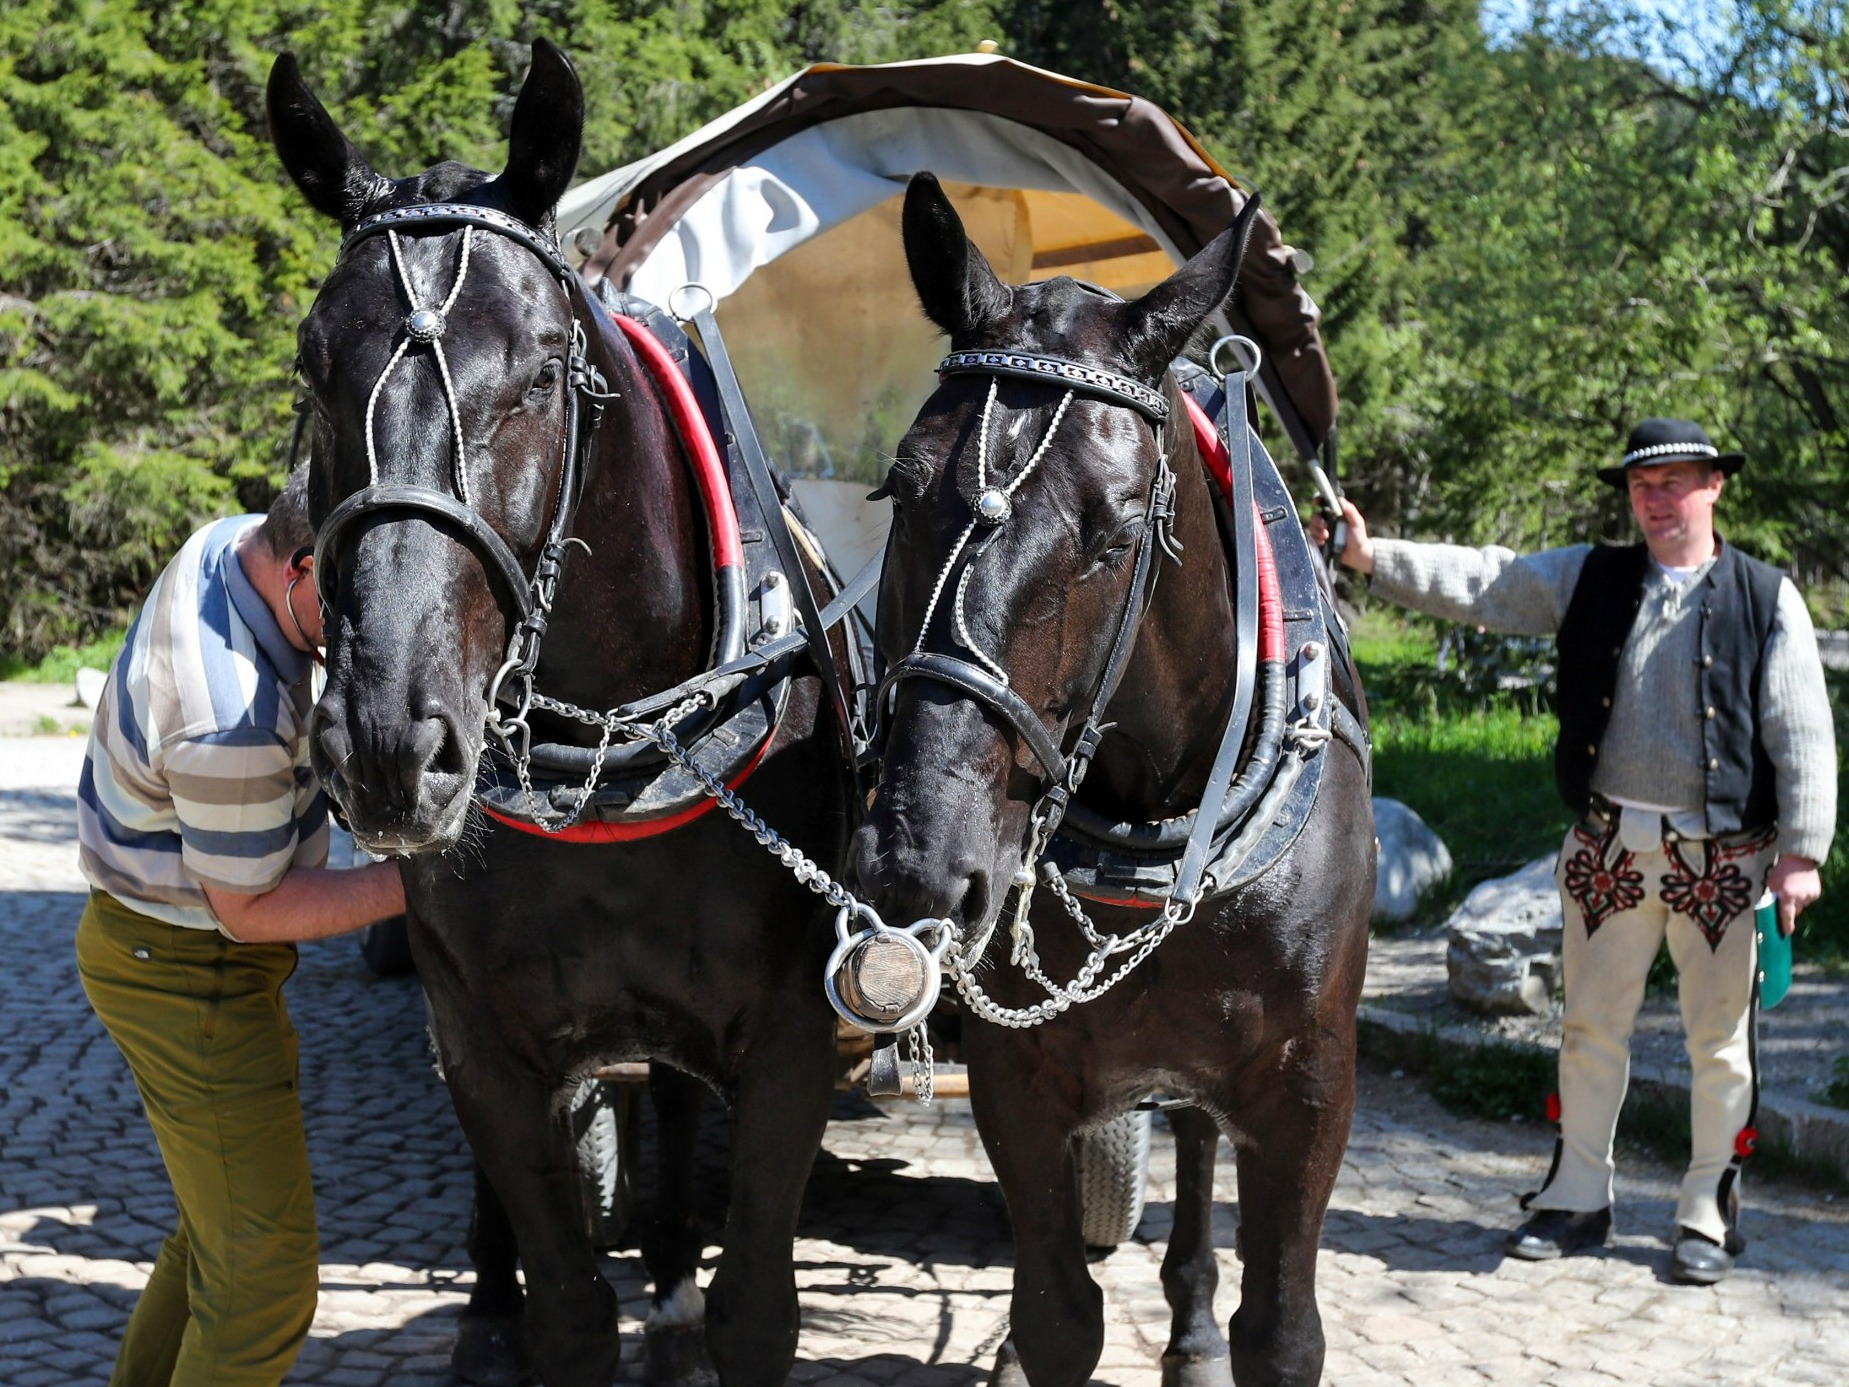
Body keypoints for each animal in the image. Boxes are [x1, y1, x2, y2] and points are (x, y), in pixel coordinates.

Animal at [269, 43, 857, 1387]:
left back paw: (674, 1284)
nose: (389, 743)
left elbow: (760, 1306)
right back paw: (493, 1304)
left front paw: (697, 1299)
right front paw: (521, 1302)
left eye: (540, 372)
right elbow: (568, 1305)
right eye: (313, 369)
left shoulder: (795, 1039)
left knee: (671, 1103)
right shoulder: (486, 1041)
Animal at [850, 176, 1375, 1387]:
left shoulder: (1310, 1088)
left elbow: (1282, 1332)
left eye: (1119, 528)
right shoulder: (1022, 1083)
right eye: (897, 490)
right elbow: (1056, 1315)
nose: (919, 864)